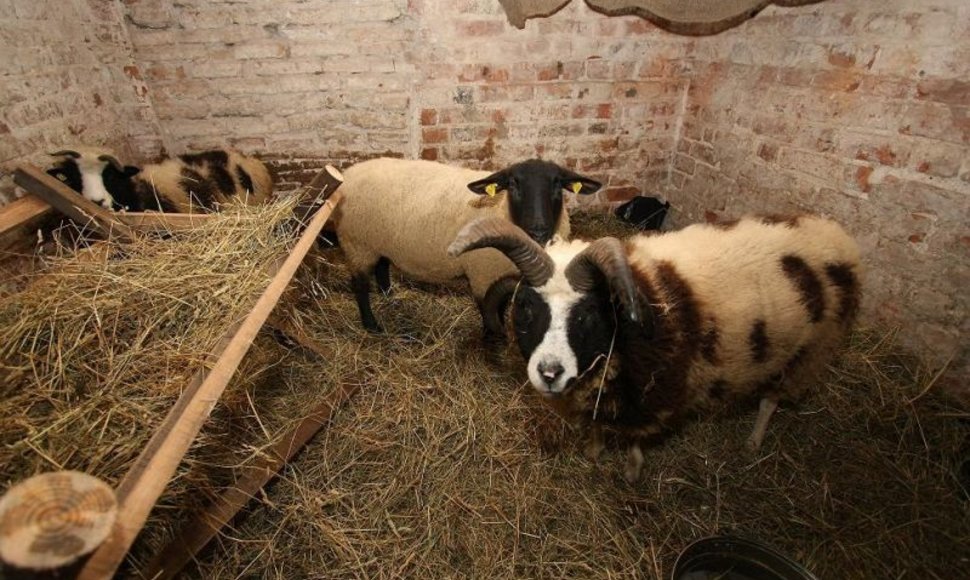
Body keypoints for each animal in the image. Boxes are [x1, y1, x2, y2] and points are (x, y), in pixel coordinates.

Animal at [332, 156, 596, 338]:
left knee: (382, 266)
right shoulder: (484, 274)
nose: (538, 230)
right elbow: (489, 310)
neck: (500, 209)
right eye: (513, 184)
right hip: (357, 244)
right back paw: (372, 325)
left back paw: (389, 296)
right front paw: (492, 339)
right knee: (360, 285)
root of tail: (349, 173)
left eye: (558, 184)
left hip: (379, 241)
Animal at [448, 215, 864, 482]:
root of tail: (836, 232)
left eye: (589, 314)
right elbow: (598, 426)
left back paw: (753, 440)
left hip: (808, 353)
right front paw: (593, 454)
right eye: (526, 308)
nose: (550, 373)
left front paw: (632, 472)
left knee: (770, 401)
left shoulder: (656, 394)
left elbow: (636, 439)